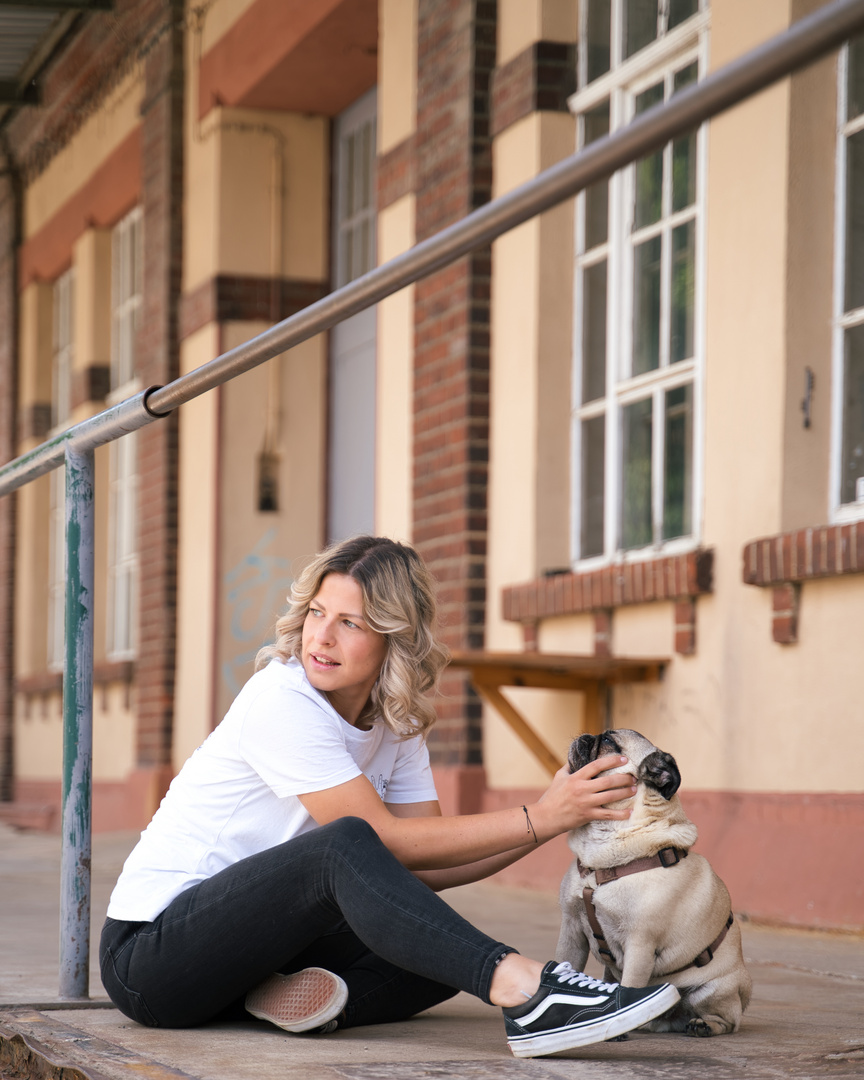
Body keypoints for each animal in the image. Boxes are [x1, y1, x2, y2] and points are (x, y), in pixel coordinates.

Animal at [561, 730, 747, 1032]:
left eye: (609, 743)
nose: (587, 735)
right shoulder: (571, 932)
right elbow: (565, 963)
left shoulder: (639, 945)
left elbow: (628, 987)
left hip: (713, 990)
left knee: (729, 1020)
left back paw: (703, 1025)